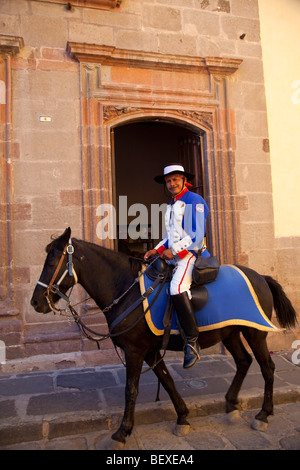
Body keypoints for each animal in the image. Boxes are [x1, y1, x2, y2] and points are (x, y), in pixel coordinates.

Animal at [31, 228, 298, 448]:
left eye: (51, 260)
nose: (35, 302)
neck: (125, 290)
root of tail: (261, 277)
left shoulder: (135, 351)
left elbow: (131, 390)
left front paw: (122, 432)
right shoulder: (149, 351)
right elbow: (167, 381)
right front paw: (182, 417)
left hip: (255, 333)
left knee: (267, 367)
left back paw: (263, 414)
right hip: (230, 333)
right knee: (244, 361)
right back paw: (231, 404)